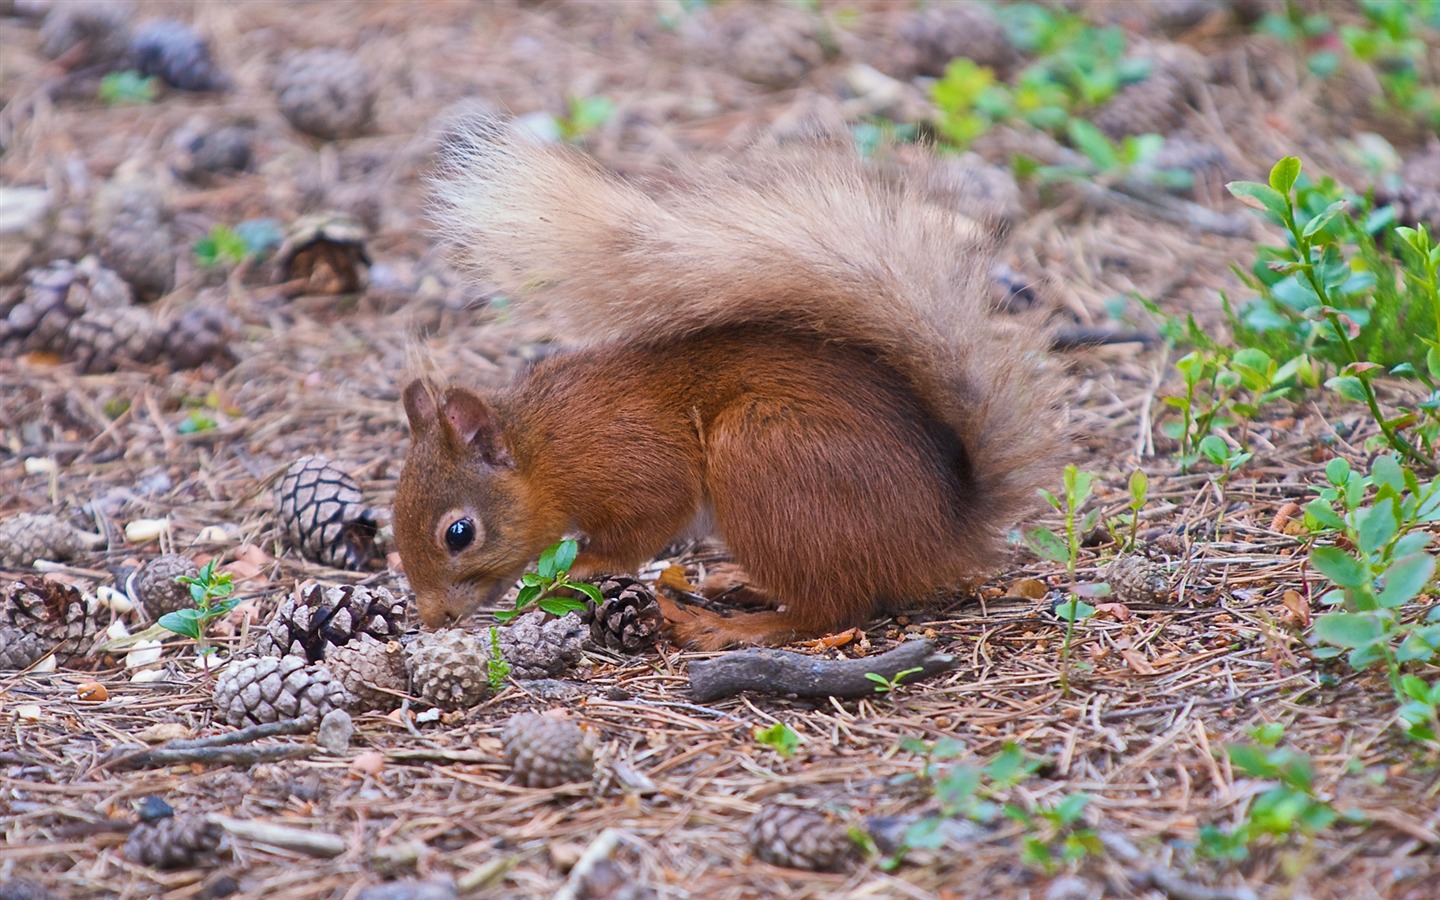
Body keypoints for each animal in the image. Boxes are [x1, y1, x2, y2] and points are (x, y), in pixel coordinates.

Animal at [388, 115, 1065, 648]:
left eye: (459, 533)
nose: (434, 619)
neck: (544, 448)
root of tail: (944, 534)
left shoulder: (629, 460)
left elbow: (649, 519)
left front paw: (584, 566)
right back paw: (739, 583)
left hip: (762, 453)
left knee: (829, 609)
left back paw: (725, 625)